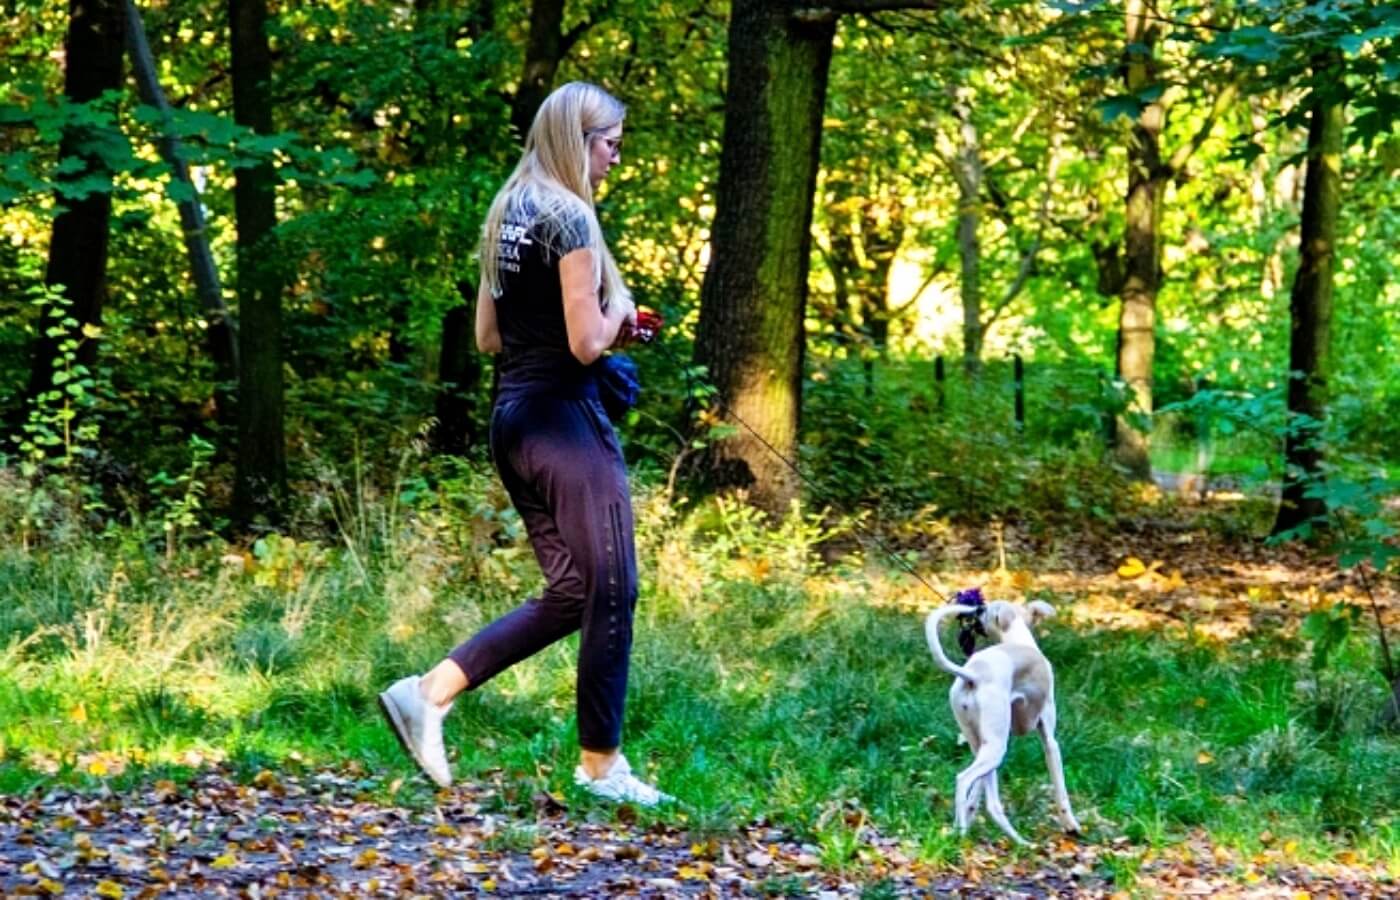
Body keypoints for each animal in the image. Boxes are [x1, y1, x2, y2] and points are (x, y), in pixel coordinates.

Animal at [929, 599, 1080, 845]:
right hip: (996, 748)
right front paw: (1071, 825)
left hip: (984, 745)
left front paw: (970, 815)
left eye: (986, 609)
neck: (1018, 639)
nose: (977, 608)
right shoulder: (1050, 741)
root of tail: (973, 675)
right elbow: (1061, 788)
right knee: (964, 779)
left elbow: (976, 795)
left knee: (988, 798)